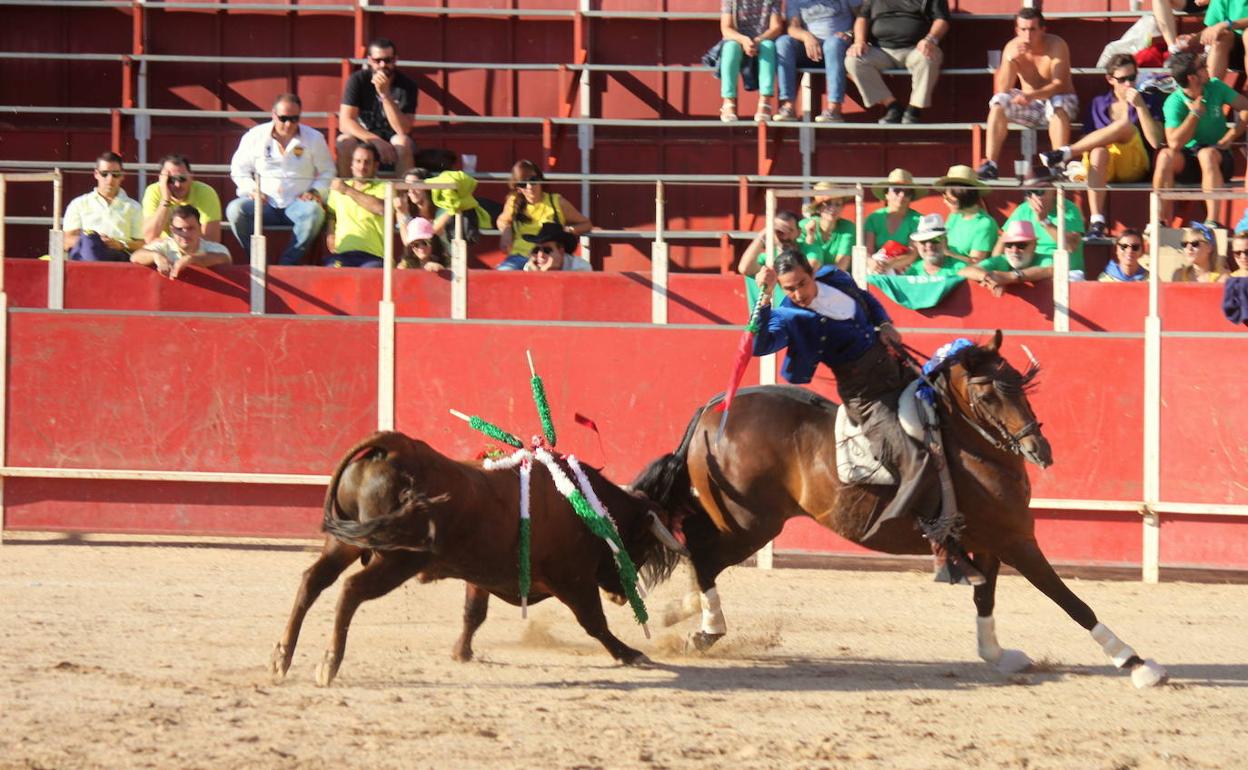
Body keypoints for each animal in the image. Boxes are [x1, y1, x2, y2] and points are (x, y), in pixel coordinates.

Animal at [268, 429, 688, 688]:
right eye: (642, 544)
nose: (621, 593)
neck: (585, 506)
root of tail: (397, 446)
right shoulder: (573, 580)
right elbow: (594, 623)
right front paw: (629, 653)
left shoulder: (481, 575)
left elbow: (474, 613)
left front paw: (461, 652)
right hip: (397, 559)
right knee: (351, 589)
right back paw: (328, 662)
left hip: (347, 543)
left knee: (311, 582)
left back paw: (281, 658)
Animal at [633, 329, 1168, 683]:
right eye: (988, 393)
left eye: (1020, 381)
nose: (1041, 450)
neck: (969, 446)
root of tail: (713, 408)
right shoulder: (1017, 539)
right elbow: (1071, 600)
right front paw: (1137, 662)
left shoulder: (988, 543)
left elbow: (986, 600)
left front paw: (996, 654)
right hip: (750, 523)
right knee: (701, 552)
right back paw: (705, 627)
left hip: (739, 520)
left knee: (693, 548)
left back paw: (683, 612)